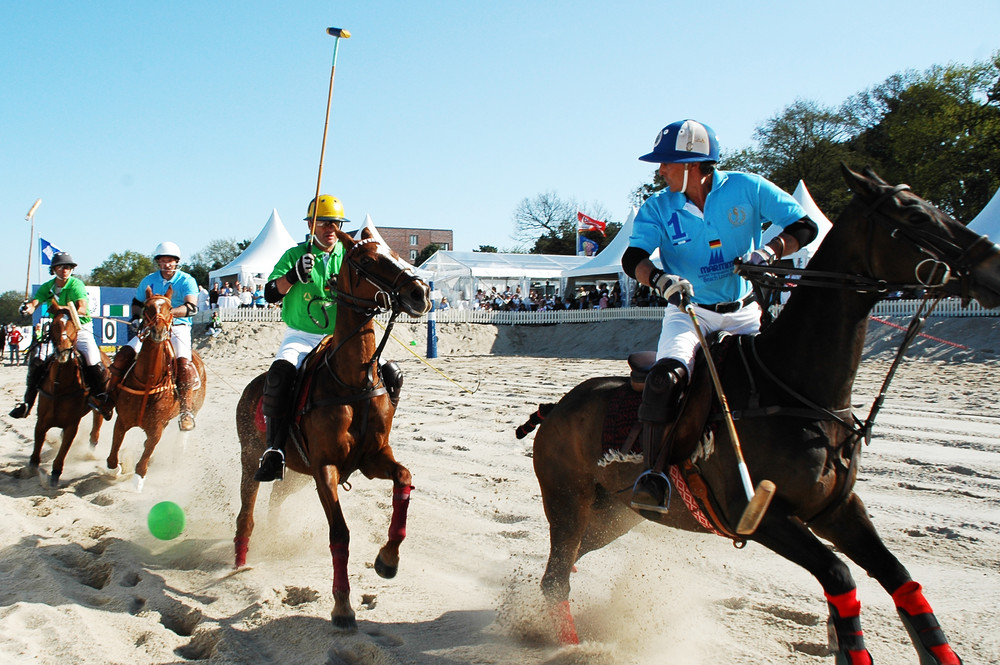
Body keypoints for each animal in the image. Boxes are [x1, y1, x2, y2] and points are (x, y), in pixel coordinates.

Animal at [28, 304, 108, 486]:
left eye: (74, 326)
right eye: (53, 325)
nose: (63, 351)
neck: (59, 386)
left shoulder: (72, 424)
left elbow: (64, 449)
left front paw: (55, 473)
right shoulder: (41, 421)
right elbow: (37, 447)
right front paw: (32, 468)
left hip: (99, 407)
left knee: (96, 426)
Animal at [105, 288, 207, 490]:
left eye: (169, 307)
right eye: (147, 307)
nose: (158, 331)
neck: (148, 381)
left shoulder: (157, 427)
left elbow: (148, 449)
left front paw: (138, 479)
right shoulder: (122, 420)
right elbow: (115, 445)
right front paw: (115, 469)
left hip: (194, 408)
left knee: (183, 431)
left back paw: (178, 452)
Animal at [238, 227, 434, 628]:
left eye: (396, 252)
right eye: (366, 260)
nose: (420, 292)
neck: (353, 379)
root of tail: (251, 388)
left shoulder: (372, 458)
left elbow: (404, 478)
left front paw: (387, 560)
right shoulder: (325, 467)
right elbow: (340, 533)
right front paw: (342, 606)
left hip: (296, 474)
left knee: (275, 500)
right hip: (251, 460)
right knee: (246, 512)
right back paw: (240, 561)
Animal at [524, 163, 1000, 660]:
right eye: (915, 216)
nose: (993, 265)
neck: (795, 387)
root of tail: (554, 409)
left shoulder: (837, 508)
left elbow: (900, 578)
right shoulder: (759, 515)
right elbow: (840, 577)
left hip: (613, 515)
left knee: (565, 568)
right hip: (568, 500)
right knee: (556, 577)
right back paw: (566, 645)